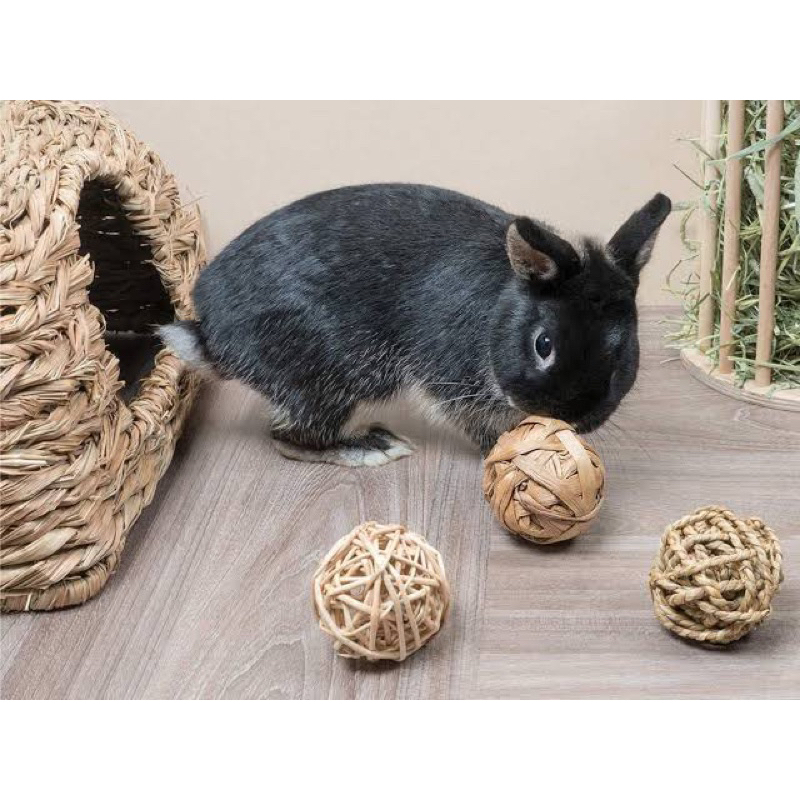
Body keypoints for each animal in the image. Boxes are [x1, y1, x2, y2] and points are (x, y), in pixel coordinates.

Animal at [160, 183, 671, 467]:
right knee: (289, 437)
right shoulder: (452, 378)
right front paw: (507, 449)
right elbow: (476, 423)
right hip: (336, 373)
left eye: (623, 354)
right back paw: (372, 446)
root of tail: (213, 337)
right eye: (542, 344)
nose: (573, 418)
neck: (501, 304)